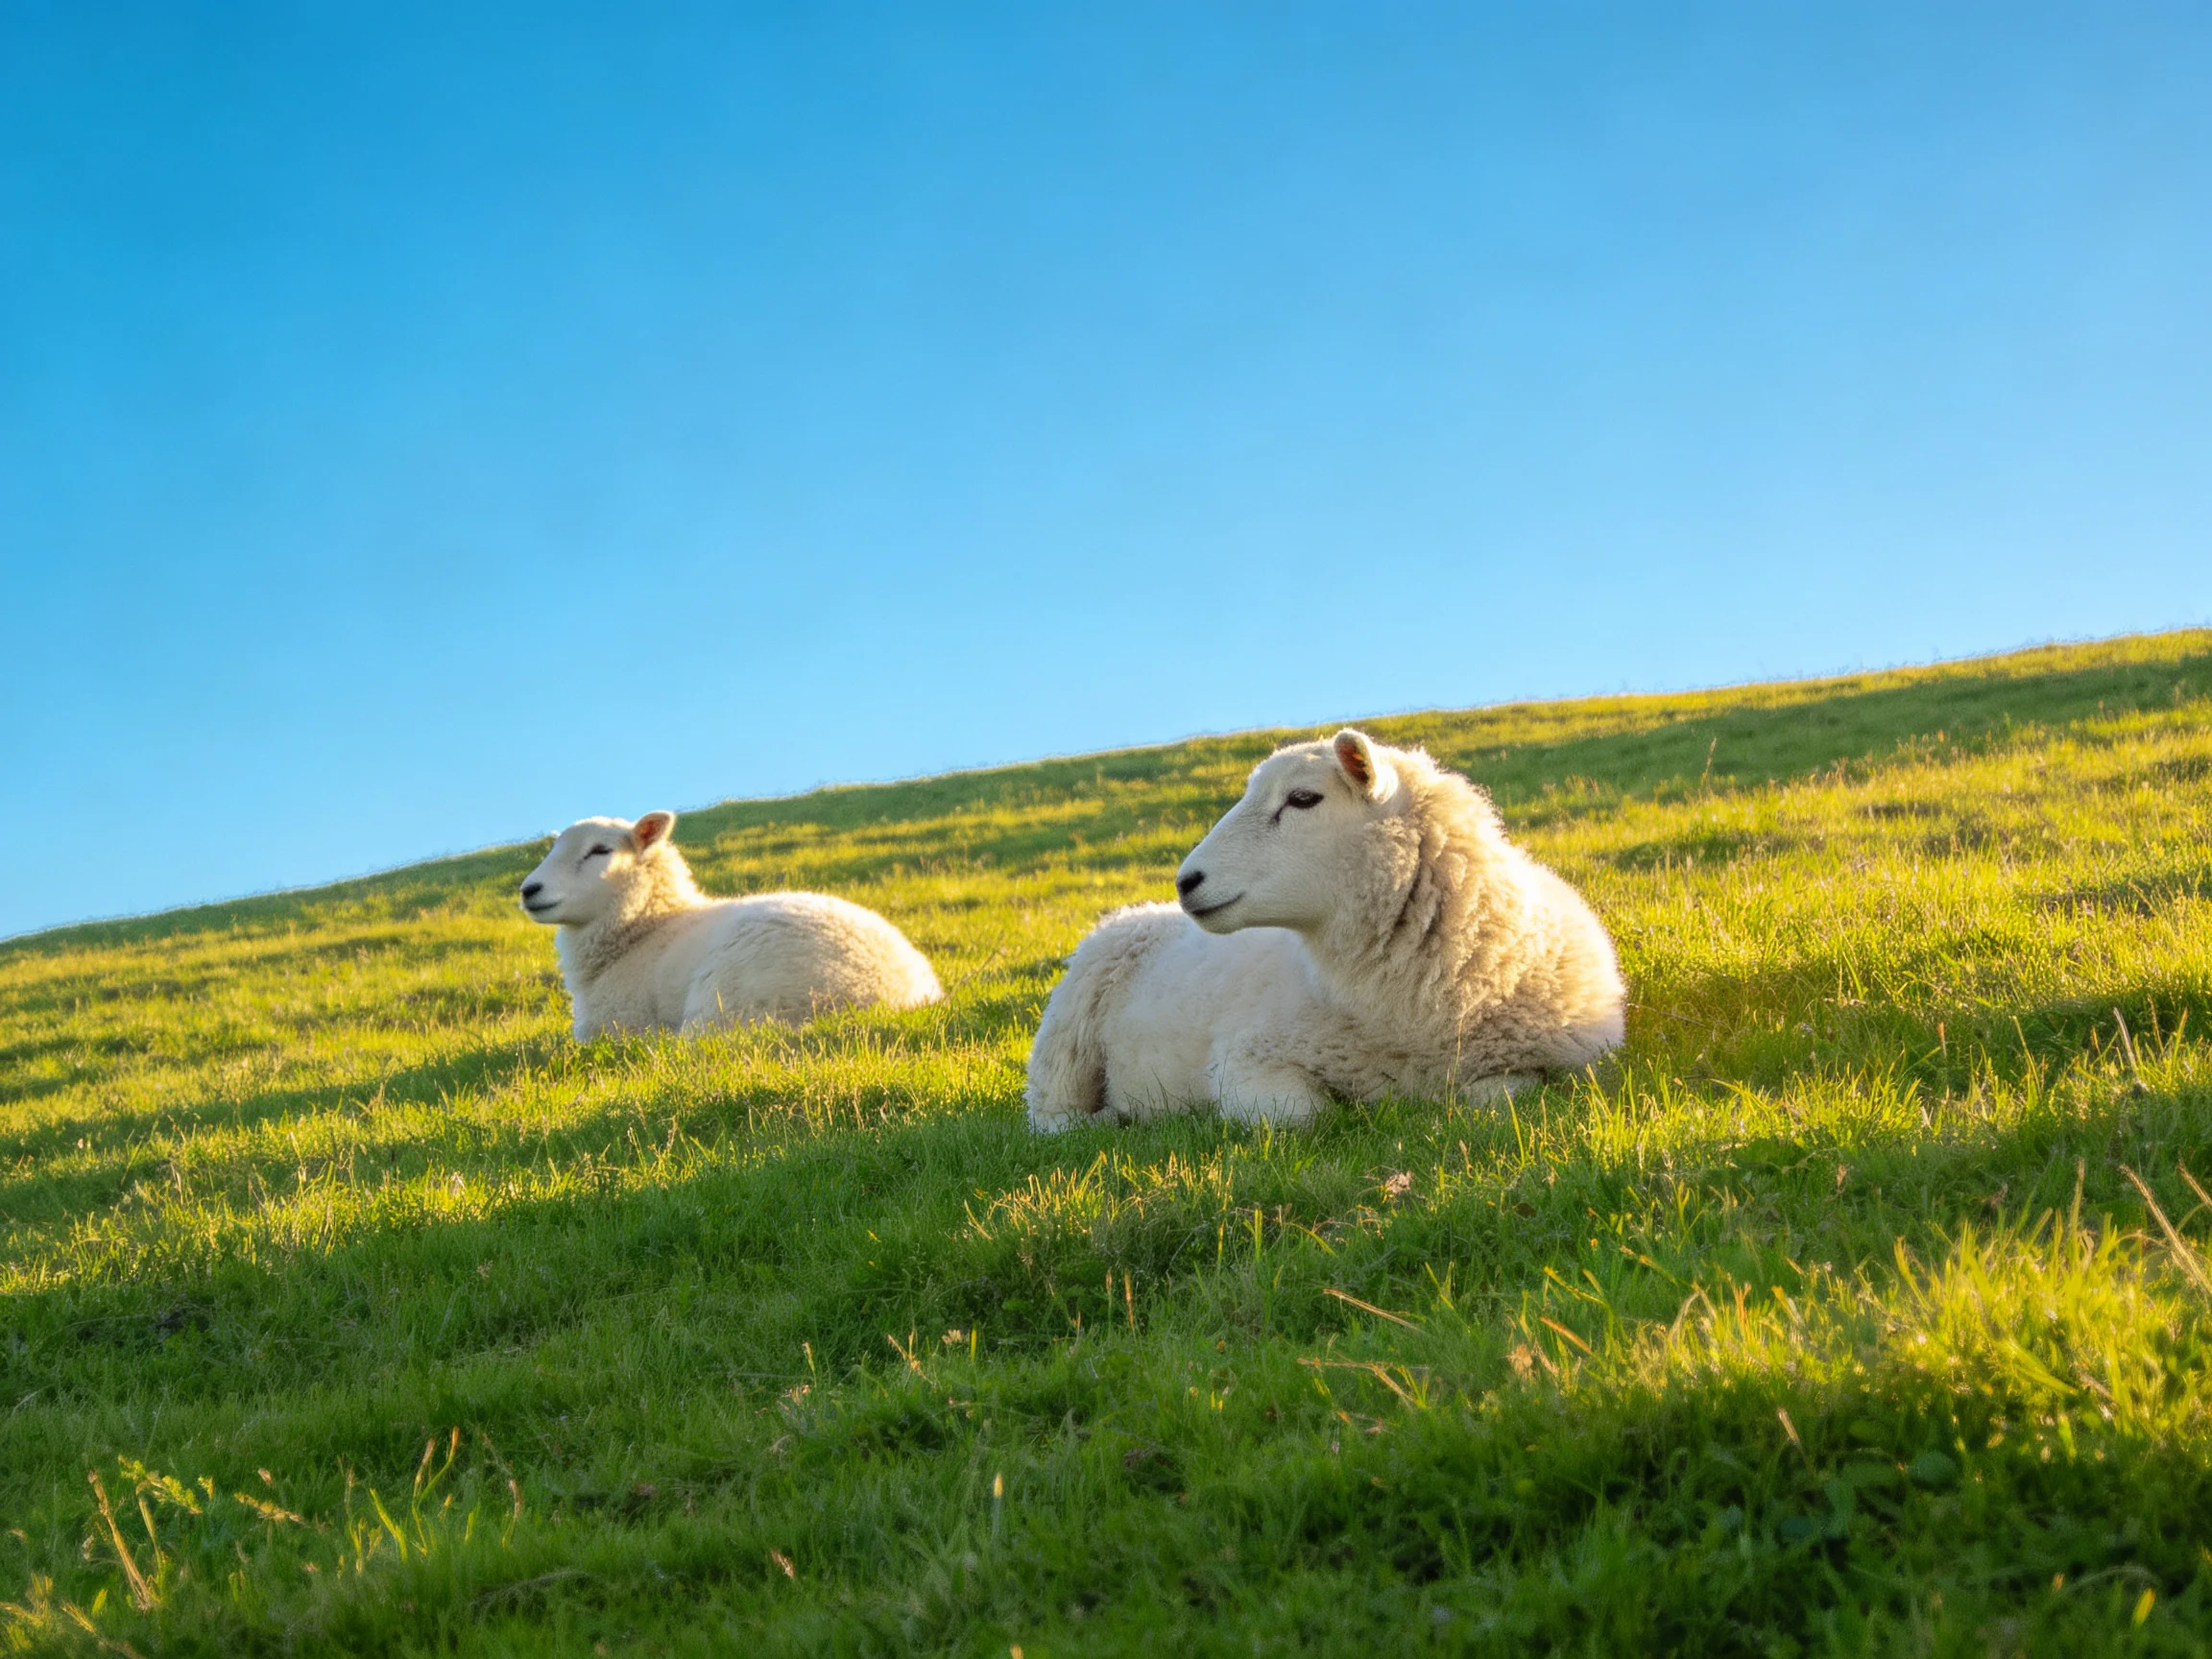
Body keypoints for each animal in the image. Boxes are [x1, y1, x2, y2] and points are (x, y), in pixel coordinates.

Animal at [520, 811, 942, 1039]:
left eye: (600, 851)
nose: (528, 890)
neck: (644, 928)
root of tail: (897, 997)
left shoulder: (613, 1024)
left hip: (730, 999)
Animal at [1026, 729, 1625, 1130]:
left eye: (1303, 799)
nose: (1186, 881)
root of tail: (1134, 912)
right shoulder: (1248, 1057)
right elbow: (1303, 1115)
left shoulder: (1574, 1064)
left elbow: (1503, 1094)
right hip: (1065, 1038)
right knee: (1049, 1116)